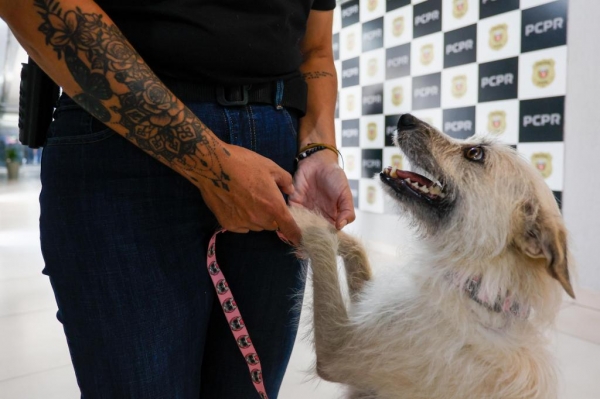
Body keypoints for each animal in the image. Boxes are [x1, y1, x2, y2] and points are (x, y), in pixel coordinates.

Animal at [292, 113, 576, 399]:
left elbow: (319, 235)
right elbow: (355, 246)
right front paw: (336, 231)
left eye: (475, 153)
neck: (479, 290)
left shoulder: (338, 349)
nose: (404, 118)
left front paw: (297, 211)